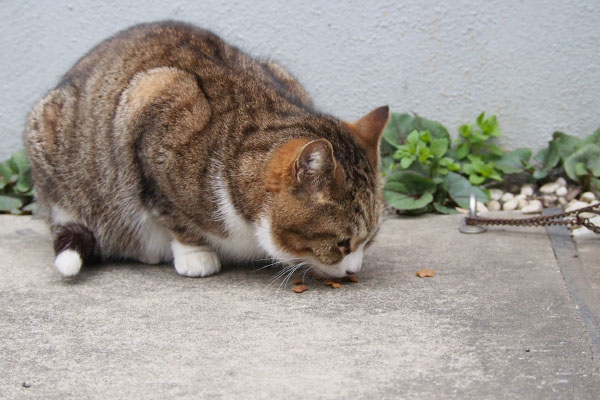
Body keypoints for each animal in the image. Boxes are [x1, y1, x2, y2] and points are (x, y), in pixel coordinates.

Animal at [23, 20, 390, 280]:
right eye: (342, 243)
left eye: (371, 238)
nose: (355, 270)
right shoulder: (155, 101)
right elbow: (171, 213)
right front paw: (194, 255)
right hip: (53, 141)